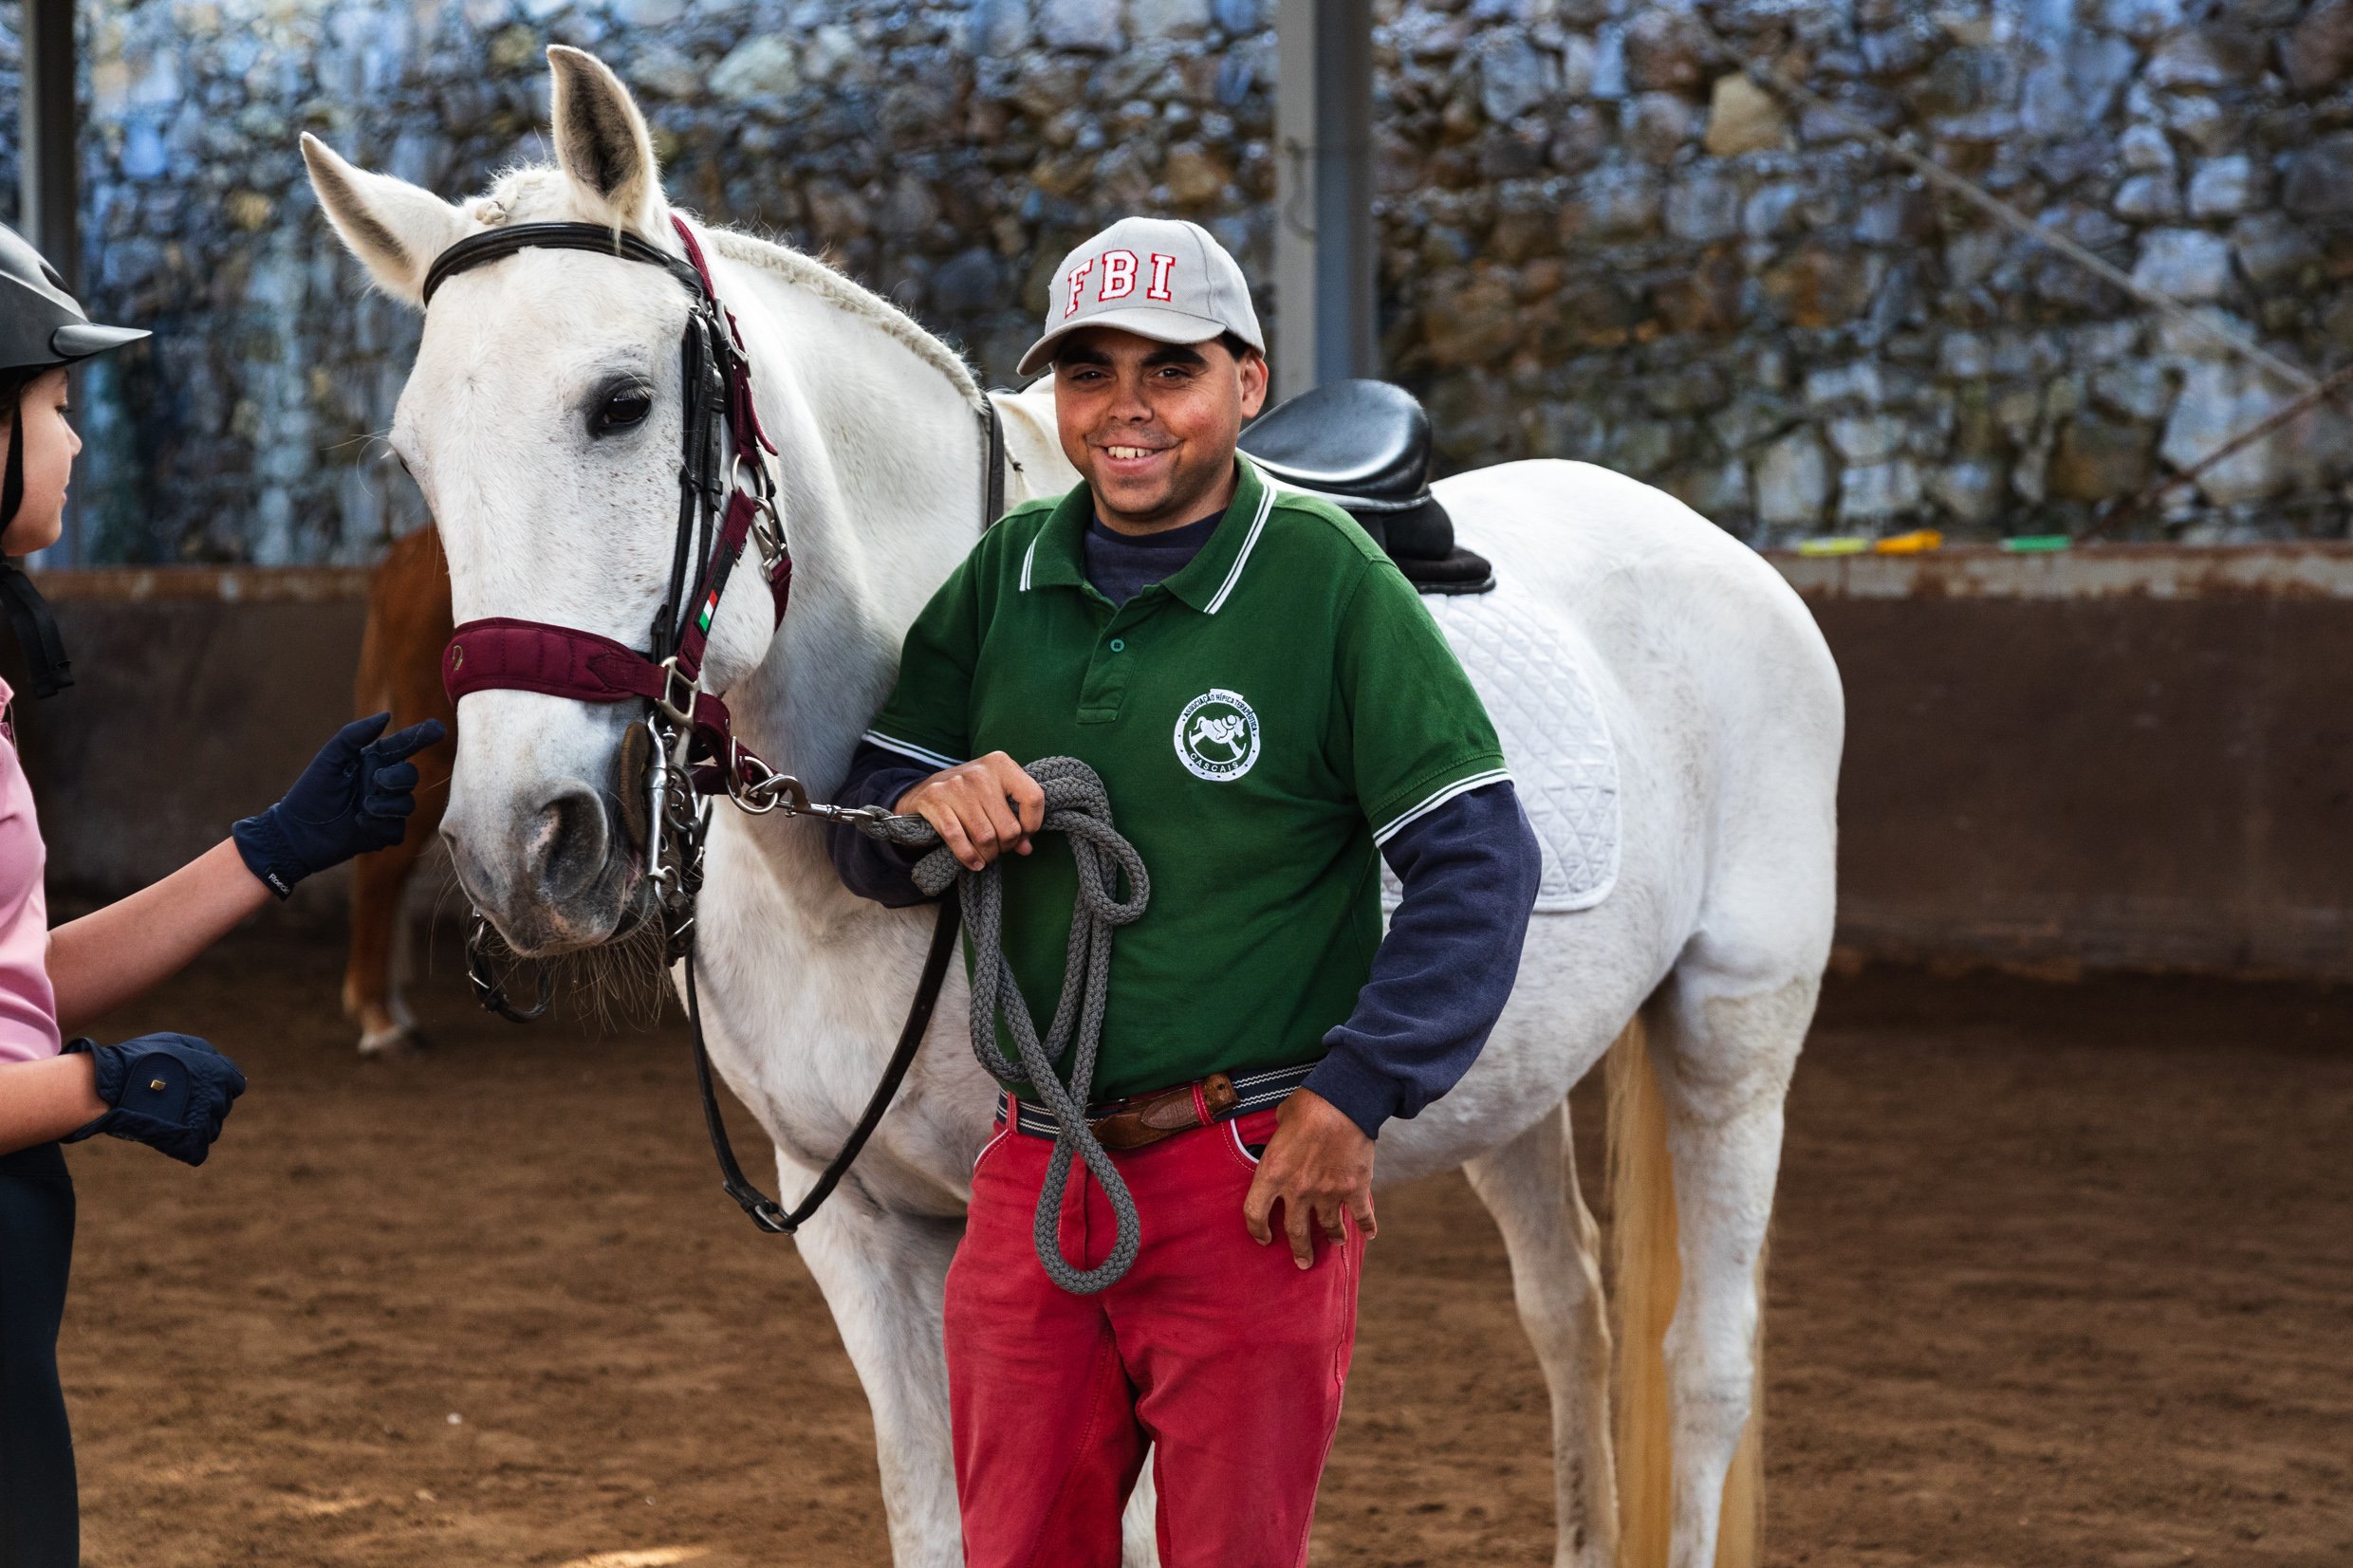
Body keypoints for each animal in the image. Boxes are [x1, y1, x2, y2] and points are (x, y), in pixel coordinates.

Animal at [301, 46, 1841, 1568]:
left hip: (1731, 1033)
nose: (522, 850)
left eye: (620, 403)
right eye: (416, 460)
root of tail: (1706, 542)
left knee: (1704, 1368)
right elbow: (934, 1510)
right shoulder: (866, 1232)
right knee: (1571, 1317)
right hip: (1509, 1084)